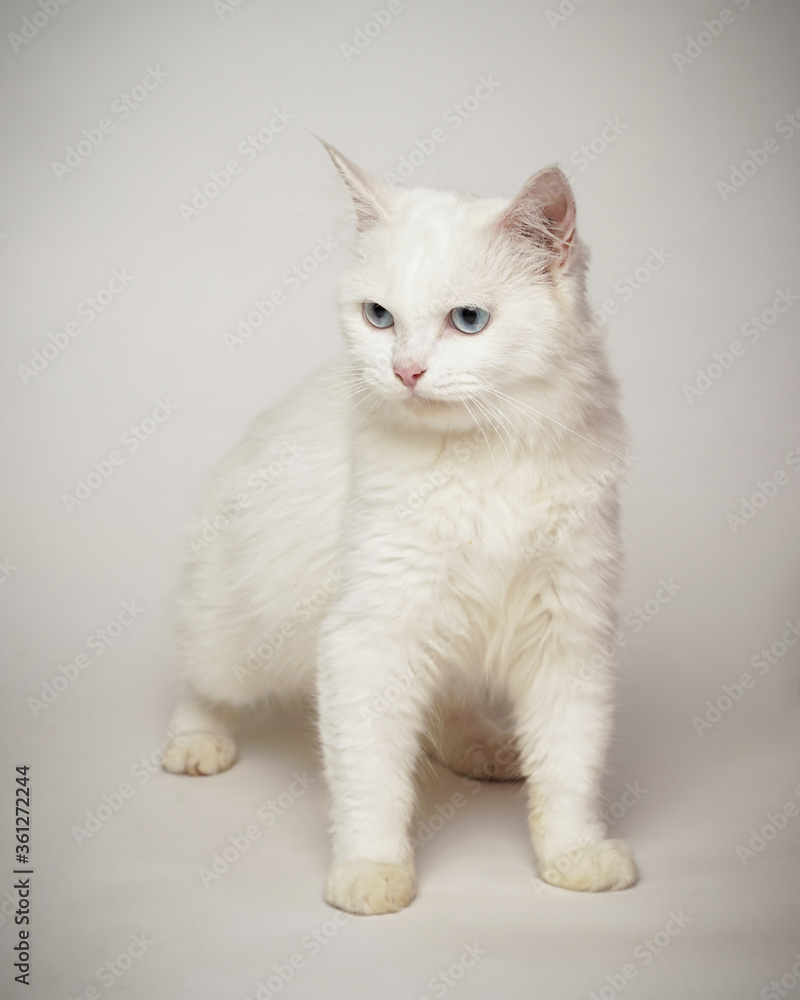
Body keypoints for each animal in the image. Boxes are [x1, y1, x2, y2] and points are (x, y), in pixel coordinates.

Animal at [162, 143, 636, 916]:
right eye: (378, 316)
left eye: (468, 320)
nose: (405, 371)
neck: (486, 457)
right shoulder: (369, 640)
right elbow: (373, 783)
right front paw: (372, 872)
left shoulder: (568, 637)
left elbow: (569, 773)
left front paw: (574, 858)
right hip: (238, 637)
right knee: (203, 681)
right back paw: (198, 742)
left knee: (450, 708)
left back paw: (487, 752)